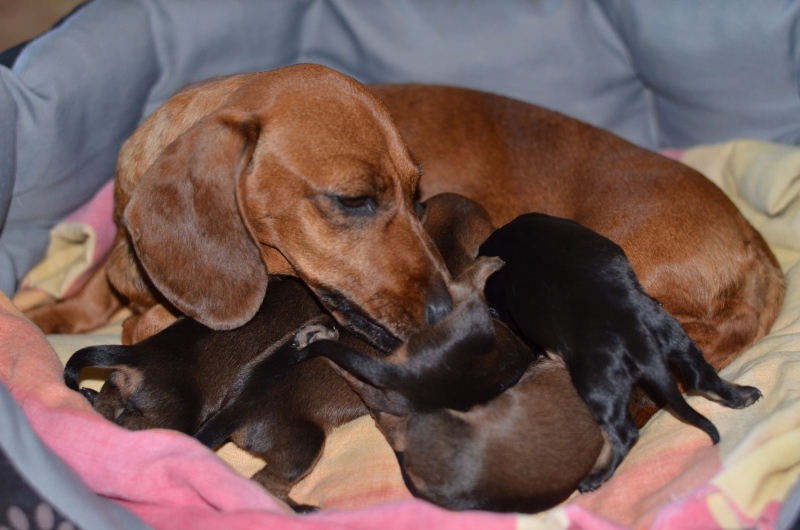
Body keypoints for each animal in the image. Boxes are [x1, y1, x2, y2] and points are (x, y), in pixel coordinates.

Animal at [477, 212, 763, 492]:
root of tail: (637, 336)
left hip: (598, 384)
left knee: (625, 433)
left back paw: (596, 476)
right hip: (678, 338)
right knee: (701, 377)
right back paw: (742, 395)